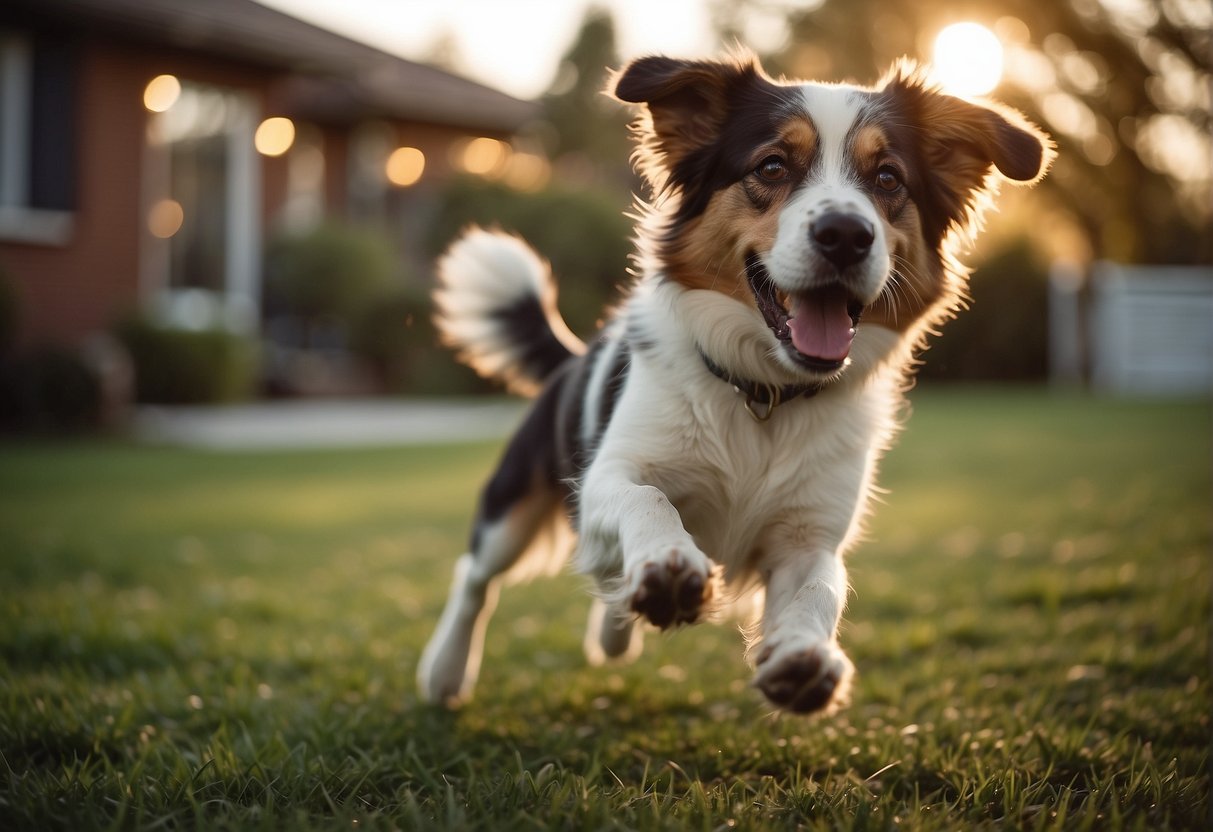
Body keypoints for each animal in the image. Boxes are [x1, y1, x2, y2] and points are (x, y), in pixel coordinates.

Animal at [417, 52, 1052, 713]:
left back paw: (614, 633)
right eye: (772, 165)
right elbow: (648, 498)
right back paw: (446, 670)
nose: (847, 234)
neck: (763, 393)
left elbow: (824, 587)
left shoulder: (808, 535)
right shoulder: (603, 480)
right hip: (512, 503)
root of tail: (570, 358)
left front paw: (805, 656)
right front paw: (668, 566)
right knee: (476, 576)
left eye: (887, 178)